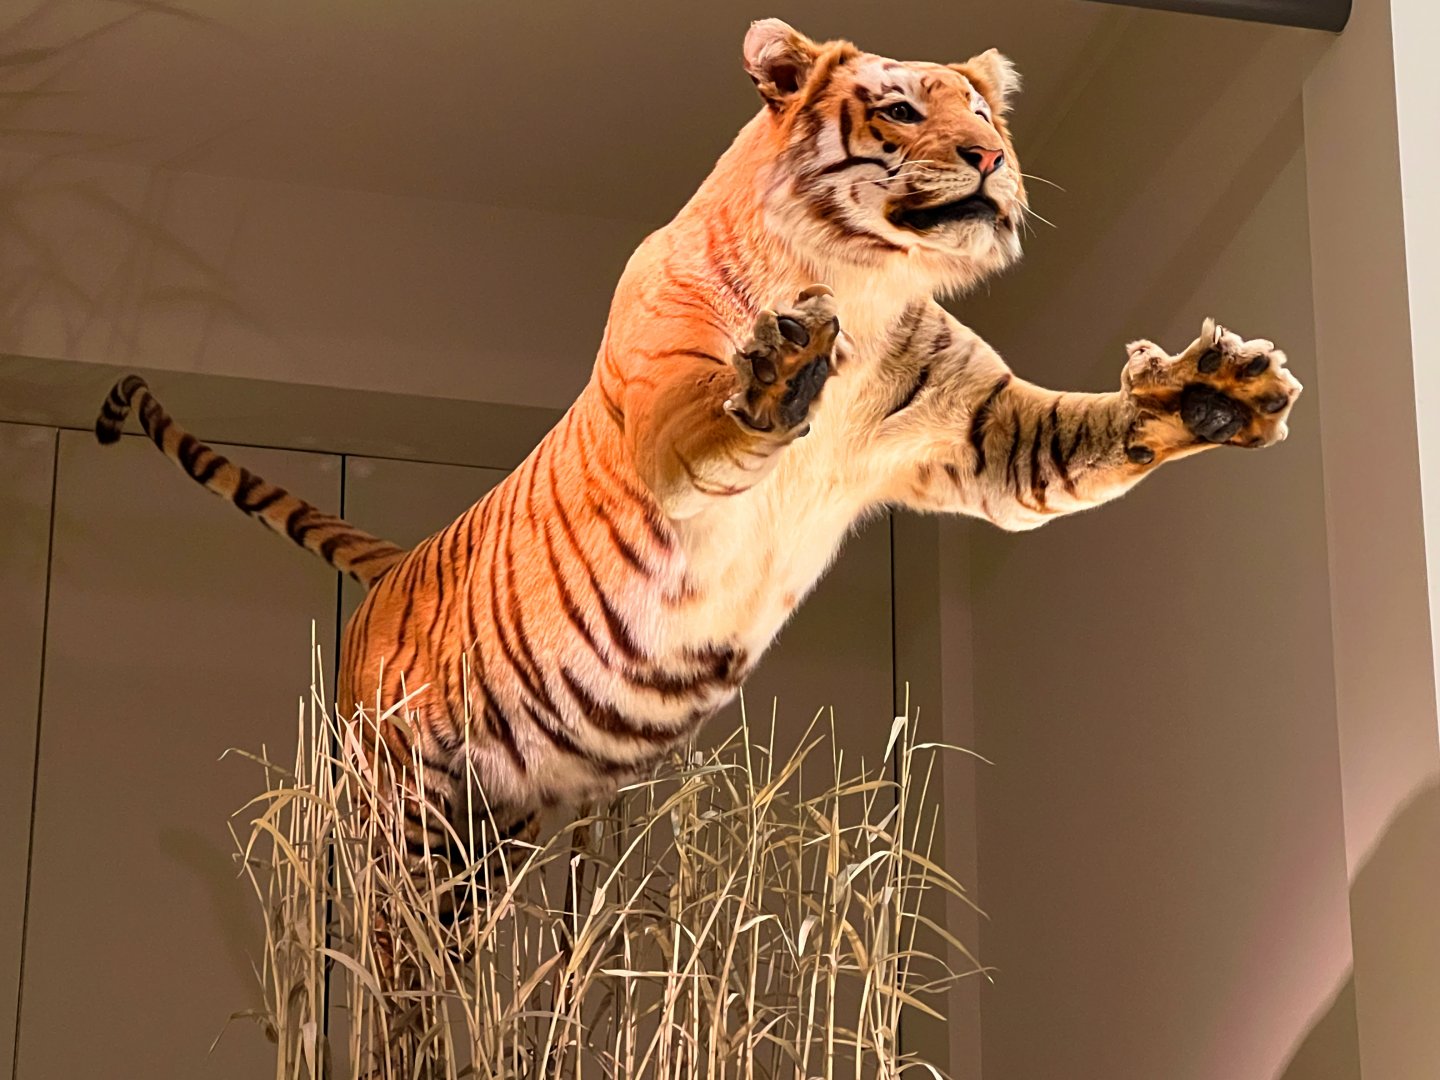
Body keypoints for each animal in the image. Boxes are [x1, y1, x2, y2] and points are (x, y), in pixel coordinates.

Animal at [96, 18, 1300, 862]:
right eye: (901, 110)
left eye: (990, 120)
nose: (990, 162)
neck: (869, 281)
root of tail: (402, 563)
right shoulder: (666, 424)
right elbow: (719, 417)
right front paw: (780, 364)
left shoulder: (985, 434)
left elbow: (1087, 440)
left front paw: (1218, 390)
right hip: (403, 815)